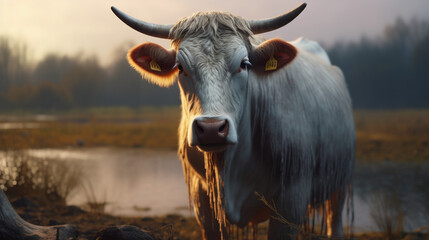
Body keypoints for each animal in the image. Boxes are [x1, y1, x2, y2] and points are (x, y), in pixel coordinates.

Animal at [111, 2, 354, 239]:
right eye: (180, 67)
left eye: (244, 64)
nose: (211, 128)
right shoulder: (204, 202)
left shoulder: (291, 199)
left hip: (339, 183)